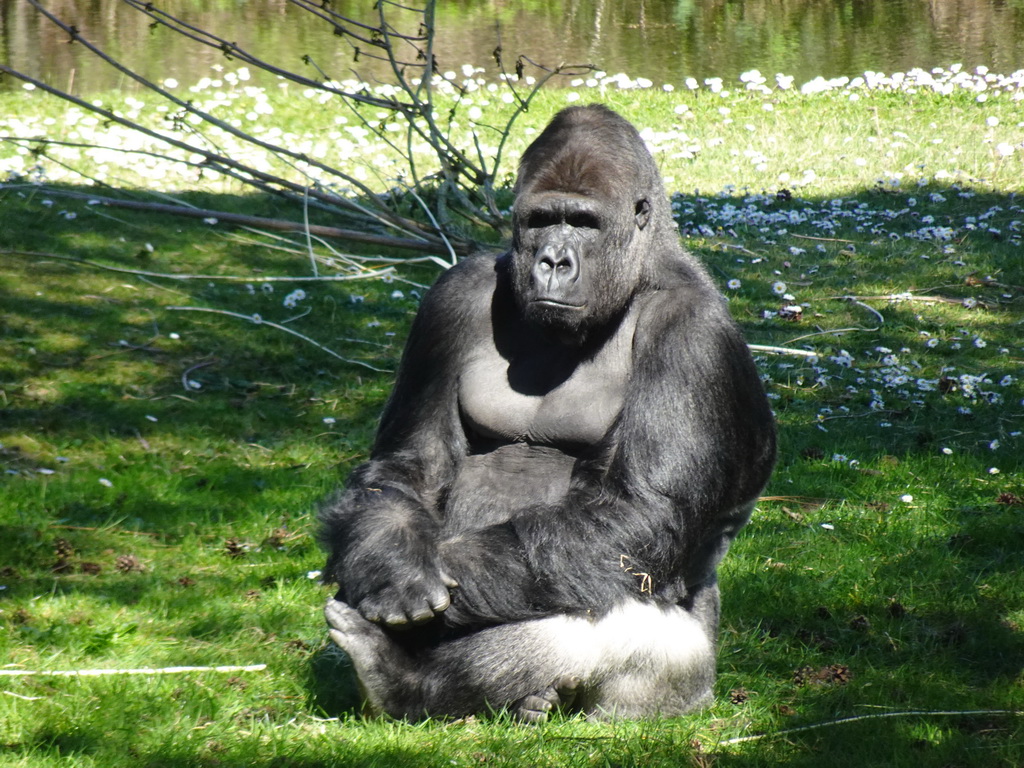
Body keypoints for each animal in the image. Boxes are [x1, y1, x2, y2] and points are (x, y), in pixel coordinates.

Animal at [319, 102, 774, 720]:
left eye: (582, 223)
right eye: (540, 220)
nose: (554, 261)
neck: (636, 275)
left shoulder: (692, 330)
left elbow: (639, 514)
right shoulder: (451, 295)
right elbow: (407, 464)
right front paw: (387, 561)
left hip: (686, 686)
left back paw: (402, 681)